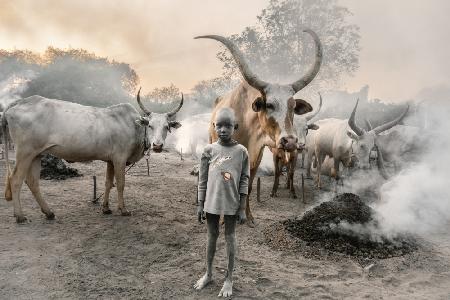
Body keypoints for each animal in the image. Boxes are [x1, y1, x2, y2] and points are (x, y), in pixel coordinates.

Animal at [3, 88, 183, 221]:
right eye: (150, 125)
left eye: (167, 126)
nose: (157, 146)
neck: (134, 126)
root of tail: (20, 102)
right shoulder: (119, 159)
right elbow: (120, 184)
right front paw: (123, 209)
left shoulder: (111, 160)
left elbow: (108, 183)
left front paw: (106, 208)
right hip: (25, 152)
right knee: (16, 180)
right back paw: (20, 216)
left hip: (36, 154)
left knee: (32, 182)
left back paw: (49, 213)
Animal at [195, 28, 322, 223]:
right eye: (269, 105)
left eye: (293, 106)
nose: (290, 142)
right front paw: (223, 218)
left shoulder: (256, 158)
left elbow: (247, 187)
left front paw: (247, 216)